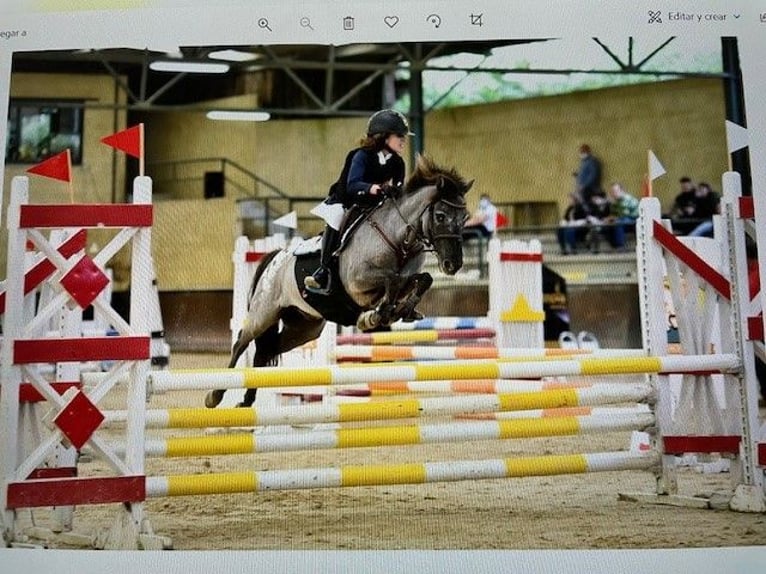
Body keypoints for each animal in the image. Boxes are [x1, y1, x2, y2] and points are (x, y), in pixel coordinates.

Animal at [204, 158, 474, 410]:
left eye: (464, 218)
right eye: (440, 216)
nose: (453, 264)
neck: (398, 240)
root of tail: (276, 255)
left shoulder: (404, 280)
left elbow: (422, 279)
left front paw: (401, 310)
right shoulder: (358, 283)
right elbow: (392, 279)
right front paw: (376, 316)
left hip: (305, 326)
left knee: (266, 351)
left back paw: (247, 401)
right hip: (265, 312)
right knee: (242, 341)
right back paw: (215, 395)